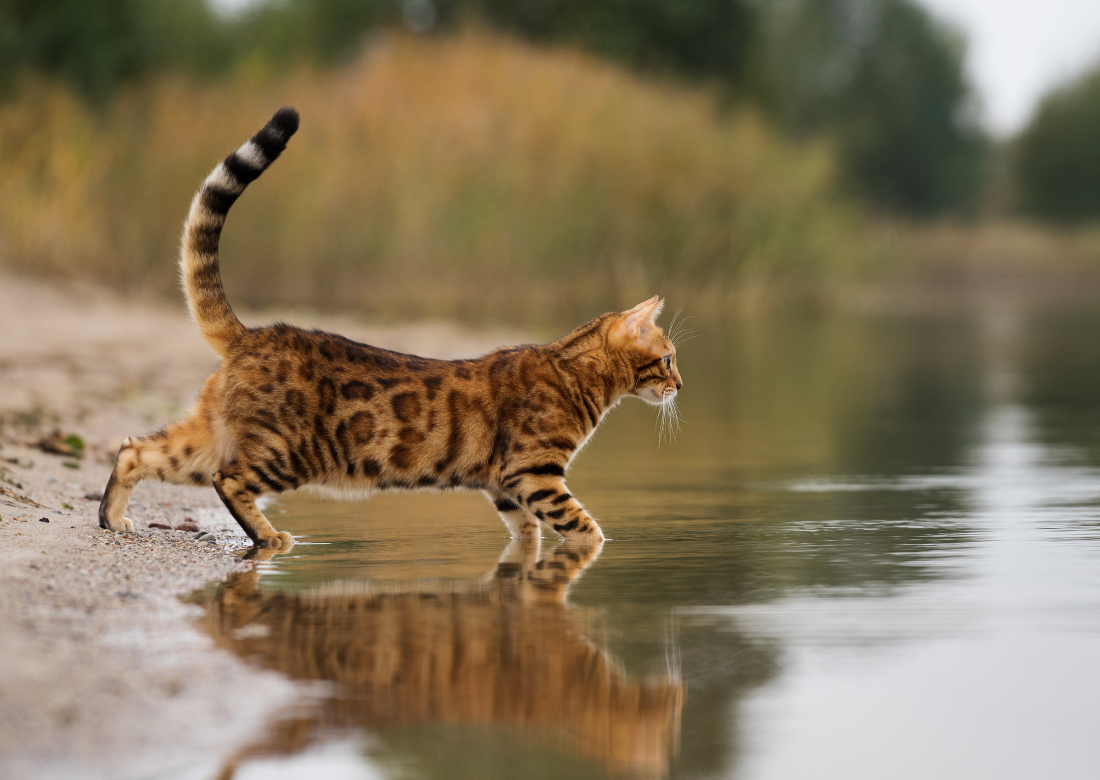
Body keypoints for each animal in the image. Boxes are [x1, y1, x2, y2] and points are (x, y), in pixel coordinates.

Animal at [96, 107, 677, 547]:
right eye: (669, 357)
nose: (679, 384)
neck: (573, 372)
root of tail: (253, 334)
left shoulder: (505, 486)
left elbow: (526, 534)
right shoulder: (533, 473)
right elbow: (584, 527)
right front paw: (595, 549)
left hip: (210, 437)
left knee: (134, 448)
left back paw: (112, 517)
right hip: (288, 452)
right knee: (229, 480)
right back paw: (269, 538)